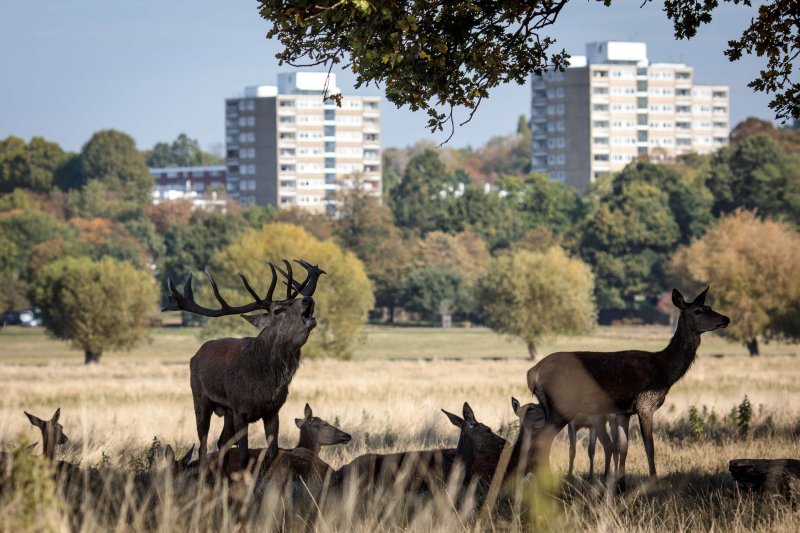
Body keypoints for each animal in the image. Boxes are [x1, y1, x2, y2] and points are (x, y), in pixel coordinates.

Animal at [164, 258, 326, 470]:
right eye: (278, 310)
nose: (308, 299)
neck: (263, 384)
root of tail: (196, 354)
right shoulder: (240, 409)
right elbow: (243, 455)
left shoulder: (273, 411)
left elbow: (272, 453)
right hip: (200, 398)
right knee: (203, 445)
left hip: (227, 411)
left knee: (222, 442)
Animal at [524, 286, 732, 486]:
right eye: (697, 311)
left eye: (709, 307)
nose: (726, 318)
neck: (664, 370)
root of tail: (533, 372)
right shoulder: (645, 404)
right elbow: (649, 447)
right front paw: (654, 481)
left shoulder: (624, 412)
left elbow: (623, 447)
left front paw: (621, 484)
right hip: (563, 404)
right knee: (541, 441)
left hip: (551, 406)